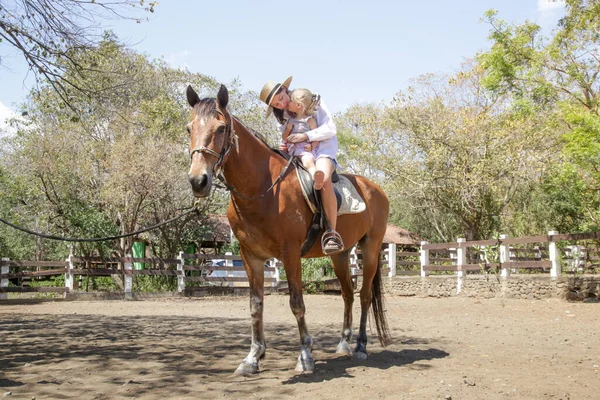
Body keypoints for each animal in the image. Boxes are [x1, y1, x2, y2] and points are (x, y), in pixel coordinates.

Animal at [188, 85, 392, 376]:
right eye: (188, 128)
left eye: (220, 128)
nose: (198, 181)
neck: (264, 188)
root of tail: (373, 188)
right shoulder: (251, 256)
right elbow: (255, 305)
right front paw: (253, 357)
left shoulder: (290, 253)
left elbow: (296, 302)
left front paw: (305, 355)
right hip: (340, 255)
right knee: (347, 294)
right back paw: (343, 343)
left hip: (372, 249)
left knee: (363, 296)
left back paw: (361, 346)